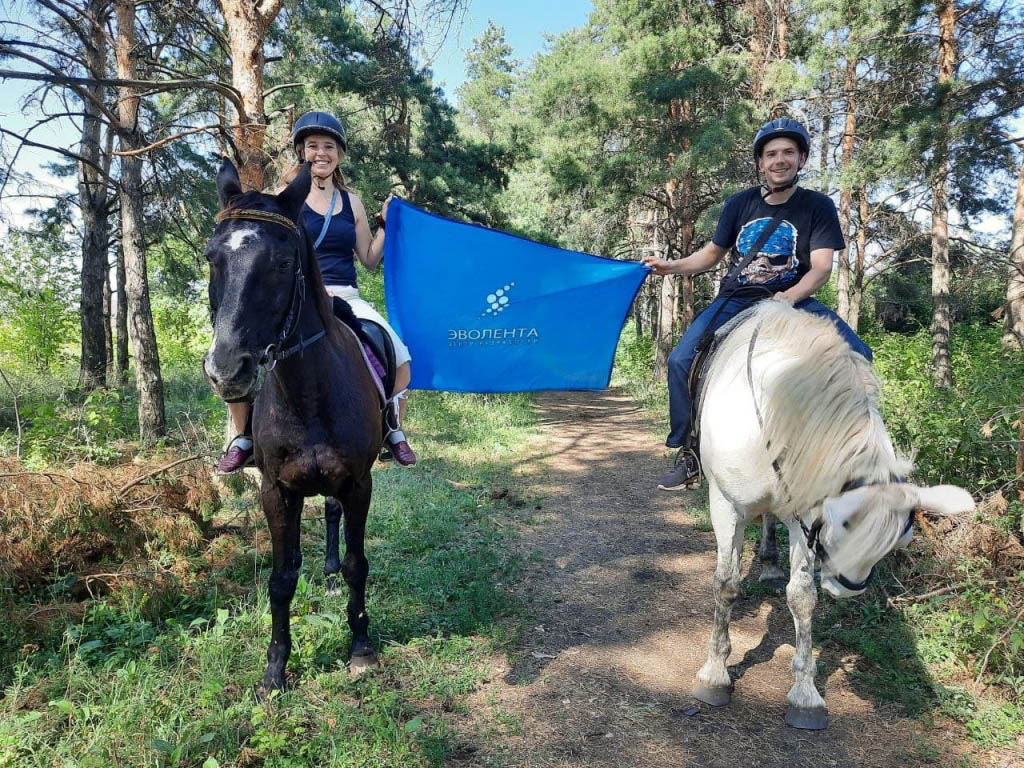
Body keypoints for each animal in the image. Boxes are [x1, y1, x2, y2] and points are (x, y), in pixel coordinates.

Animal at [201, 159, 382, 688]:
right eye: (212, 258)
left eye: (283, 263)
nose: (226, 370)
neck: (308, 394)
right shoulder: (276, 491)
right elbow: (281, 580)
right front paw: (275, 669)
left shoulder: (359, 483)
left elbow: (357, 563)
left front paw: (360, 644)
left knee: (334, 516)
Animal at [692, 299, 970, 729]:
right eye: (842, 526)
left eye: (900, 540)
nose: (849, 588)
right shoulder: (725, 505)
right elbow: (725, 585)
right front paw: (715, 674)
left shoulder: (802, 513)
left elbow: (802, 596)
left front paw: (806, 695)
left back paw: (770, 564)